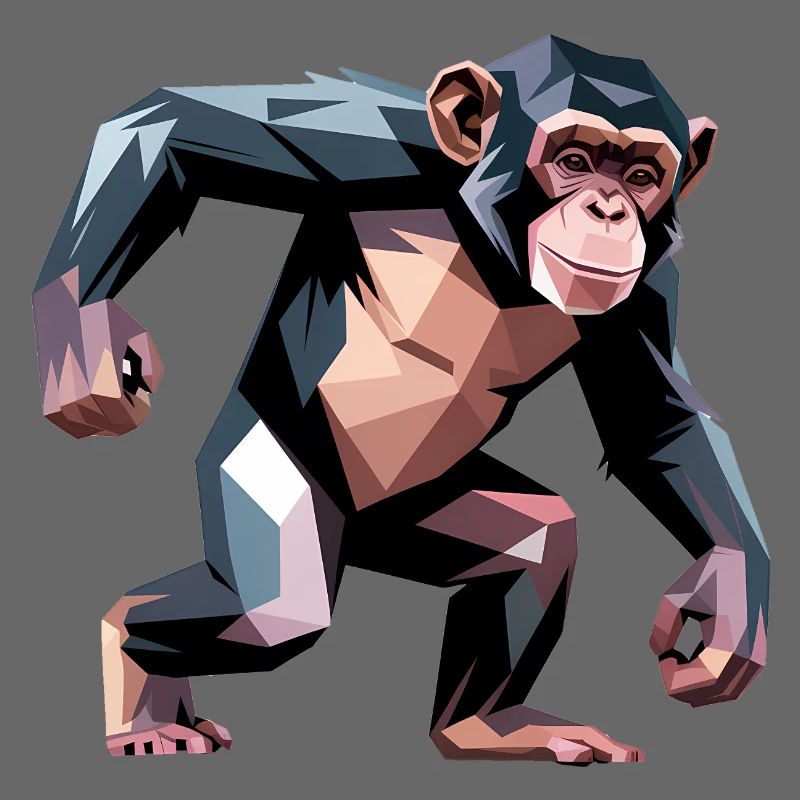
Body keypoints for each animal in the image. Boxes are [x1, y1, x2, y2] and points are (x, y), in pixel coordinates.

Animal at [32, 35, 769, 763]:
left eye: (642, 177)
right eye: (574, 161)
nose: (611, 210)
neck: (495, 252)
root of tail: (361, 532)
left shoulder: (650, 283)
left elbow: (656, 421)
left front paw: (727, 602)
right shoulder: (378, 143)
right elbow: (176, 130)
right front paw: (87, 340)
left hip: (425, 512)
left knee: (539, 542)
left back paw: (484, 726)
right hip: (273, 467)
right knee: (272, 615)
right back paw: (137, 679)